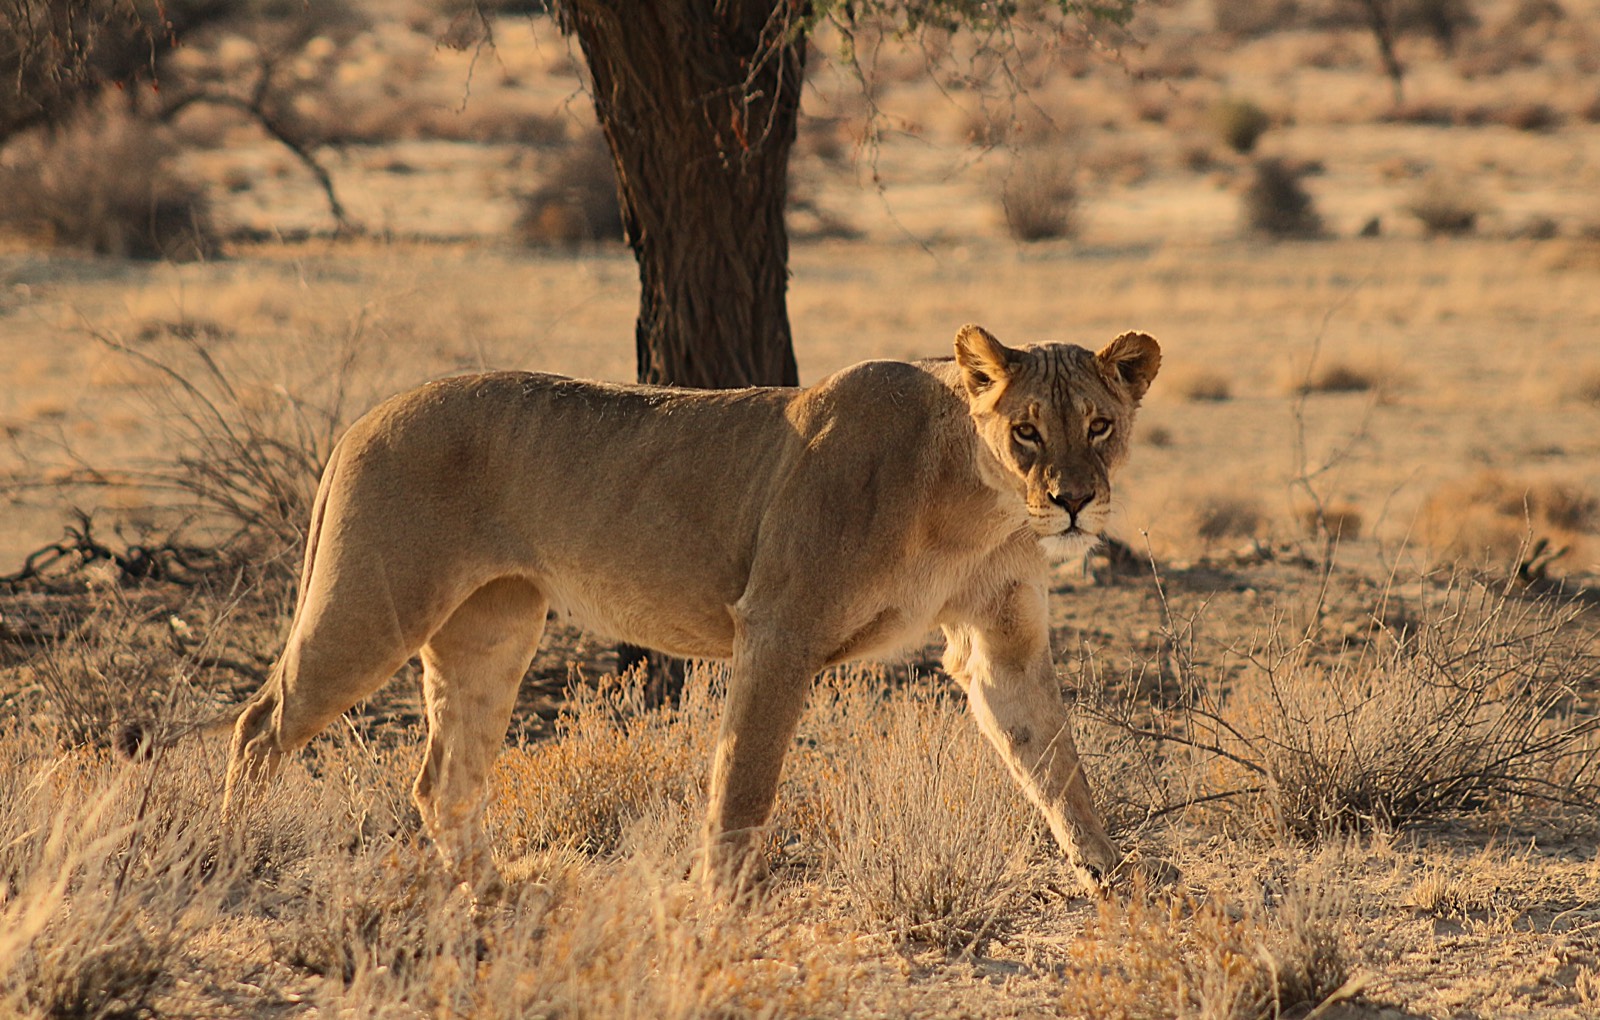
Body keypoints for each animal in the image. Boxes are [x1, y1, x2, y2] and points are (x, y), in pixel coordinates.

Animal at [220, 324, 1161, 898]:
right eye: (1027, 430)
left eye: (1100, 426)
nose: (1075, 502)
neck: (979, 505)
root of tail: (361, 421)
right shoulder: (778, 625)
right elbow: (745, 778)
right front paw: (723, 901)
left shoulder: (1000, 645)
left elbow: (1059, 769)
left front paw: (1118, 882)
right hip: (371, 608)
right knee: (260, 722)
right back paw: (234, 856)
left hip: (493, 627)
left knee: (443, 779)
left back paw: (493, 895)